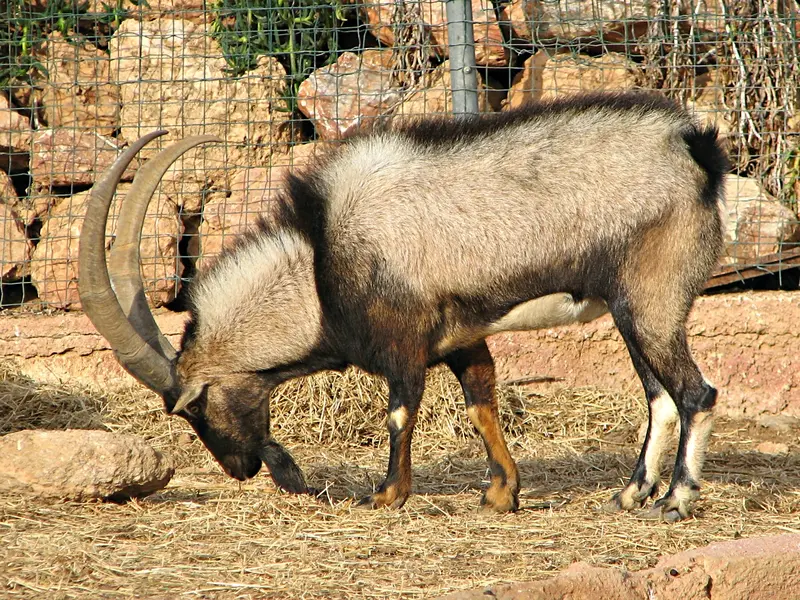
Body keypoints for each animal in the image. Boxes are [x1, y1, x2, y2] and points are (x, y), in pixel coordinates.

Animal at [79, 91, 728, 522]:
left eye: (191, 408)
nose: (242, 467)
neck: (320, 261)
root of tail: (693, 148)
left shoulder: (403, 342)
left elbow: (399, 412)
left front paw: (387, 494)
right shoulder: (462, 338)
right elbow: (480, 402)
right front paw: (501, 493)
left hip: (650, 303)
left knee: (695, 393)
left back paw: (674, 500)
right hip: (631, 311)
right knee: (660, 397)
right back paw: (629, 494)